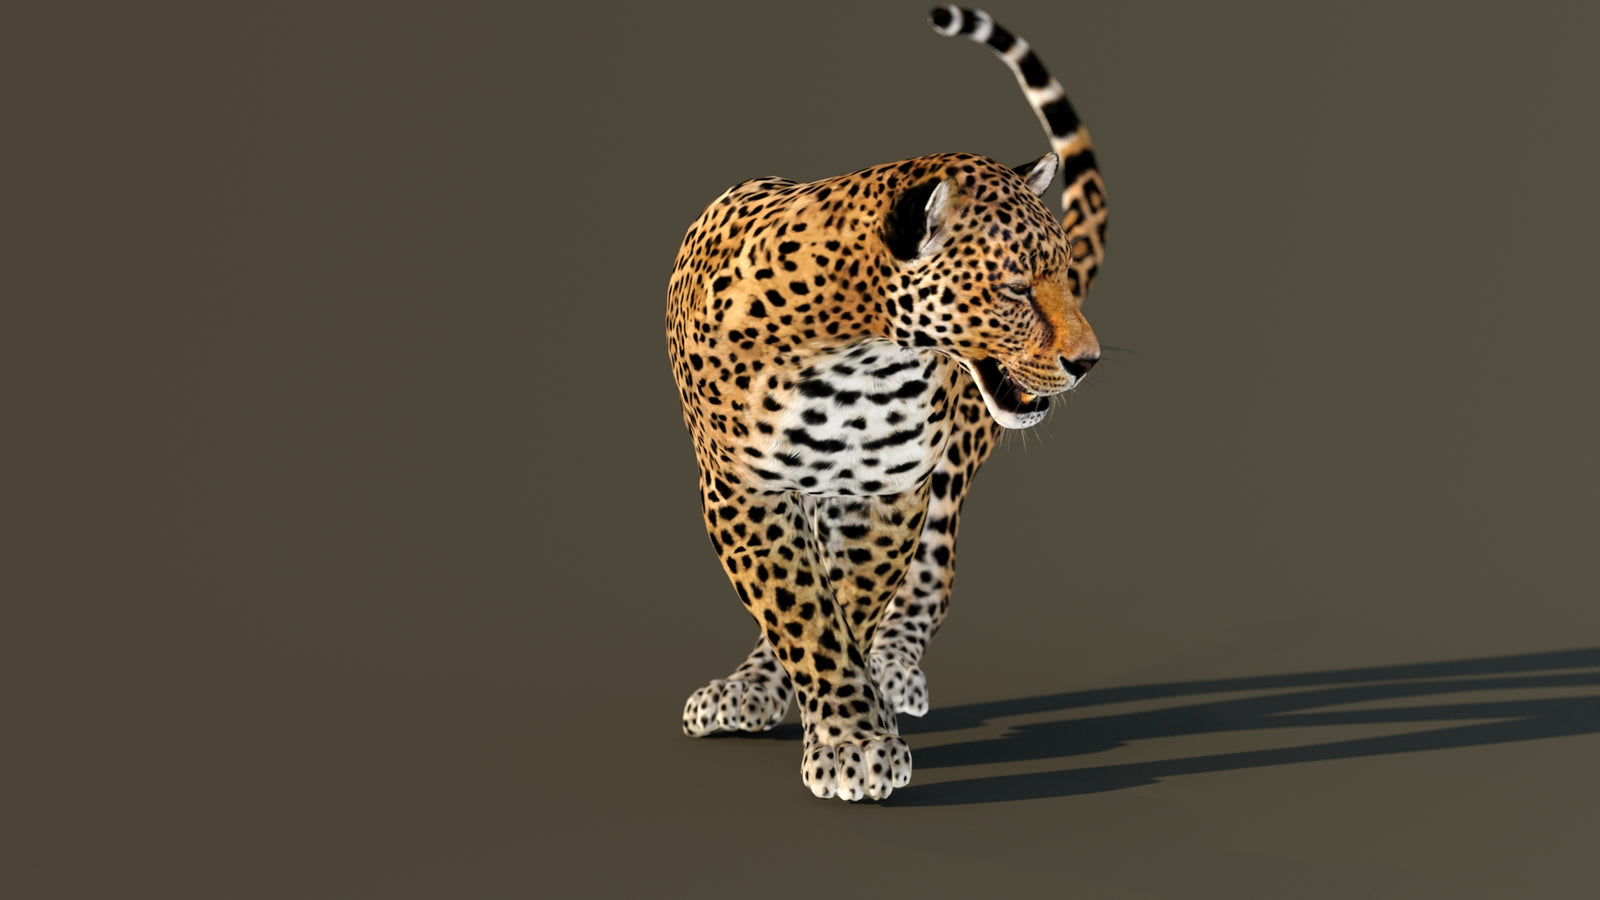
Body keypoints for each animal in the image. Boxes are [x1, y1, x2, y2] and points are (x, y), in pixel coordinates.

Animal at [666, 6, 1111, 801]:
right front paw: (851, 737)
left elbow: (847, 601)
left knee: (930, 582)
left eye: (1062, 276)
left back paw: (884, 667)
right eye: (1015, 288)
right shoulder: (740, 488)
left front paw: (852, 719)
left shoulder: (889, 491)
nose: (1088, 362)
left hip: (945, 479)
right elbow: (803, 610)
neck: (860, 351)